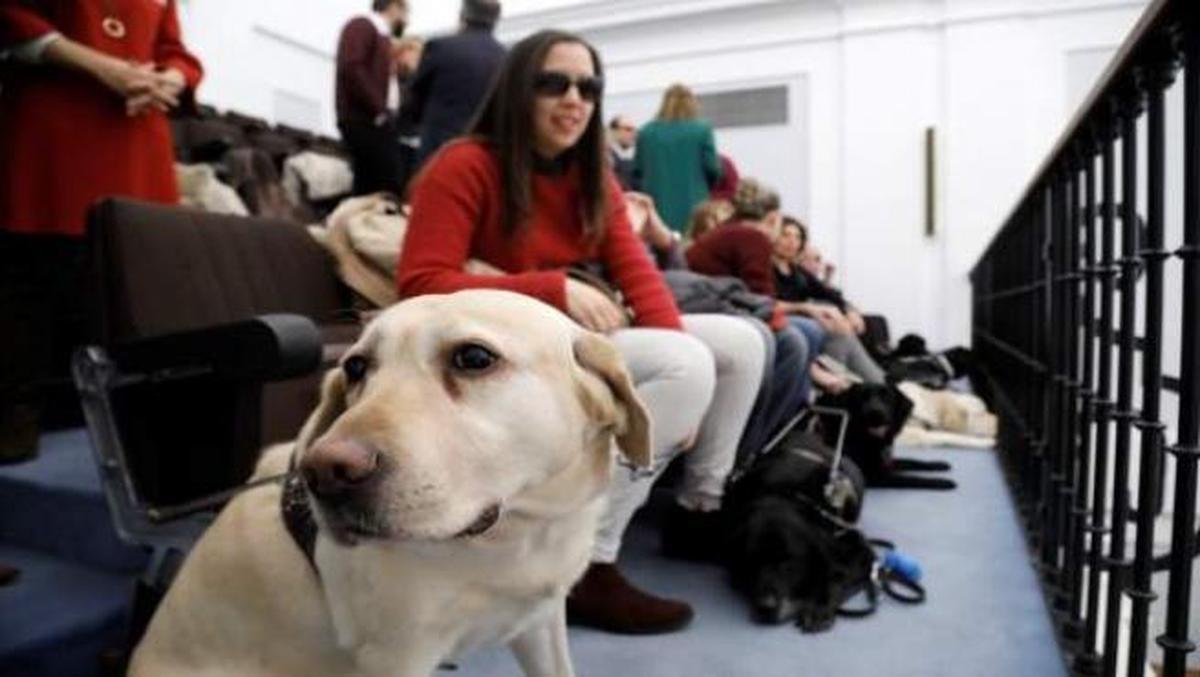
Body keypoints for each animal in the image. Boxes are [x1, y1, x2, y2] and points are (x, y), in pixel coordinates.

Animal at [129, 289, 648, 677]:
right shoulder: (399, 656)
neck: (520, 532)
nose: (325, 472)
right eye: (357, 367)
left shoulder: (540, 621)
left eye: (474, 357)